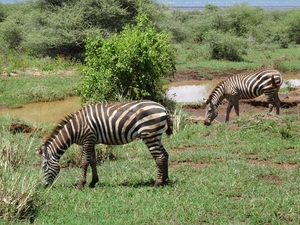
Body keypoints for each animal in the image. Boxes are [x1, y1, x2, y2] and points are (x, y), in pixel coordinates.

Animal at [36, 99, 172, 189]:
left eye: (44, 167)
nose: (43, 186)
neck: (75, 128)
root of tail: (163, 108)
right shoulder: (92, 141)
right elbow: (92, 161)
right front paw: (93, 182)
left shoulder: (88, 139)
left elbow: (84, 161)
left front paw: (80, 184)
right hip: (156, 136)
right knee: (165, 155)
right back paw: (165, 180)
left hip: (150, 135)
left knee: (159, 157)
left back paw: (157, 183)